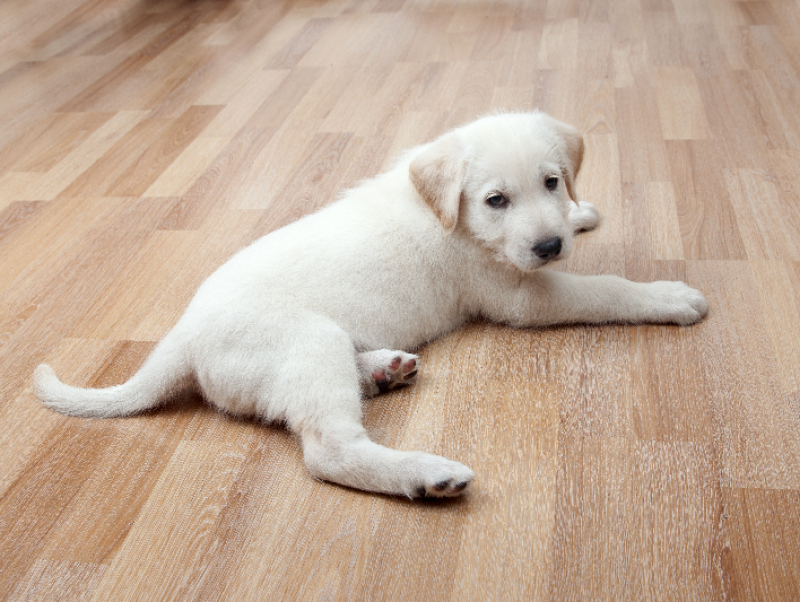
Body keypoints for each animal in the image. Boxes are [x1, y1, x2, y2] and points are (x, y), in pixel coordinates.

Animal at [32, 111, 708, 496]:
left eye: (549, 182)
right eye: (495, 200)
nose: (548, 246)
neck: (445, 212)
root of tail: (184, 337)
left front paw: (582, 212)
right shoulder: (518, 295)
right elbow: (603, 288)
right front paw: (668, 295)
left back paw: (384, 369)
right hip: (309, 343)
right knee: (328, 450)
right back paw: (424, 474)